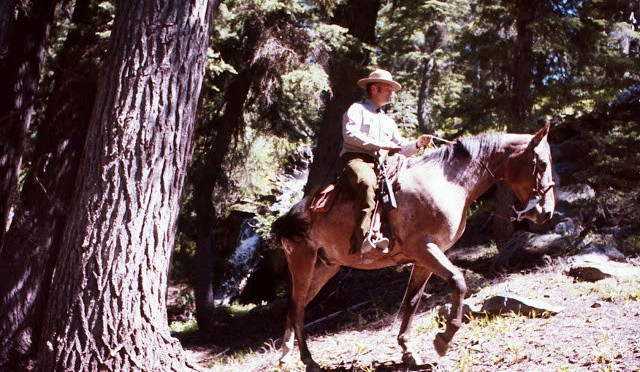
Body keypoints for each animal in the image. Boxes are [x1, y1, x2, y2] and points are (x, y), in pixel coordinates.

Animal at [272, 123, 556, 370]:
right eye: (542, 164)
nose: (547, 213)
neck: (447, 182)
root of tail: (291, 215)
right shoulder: (425, 248)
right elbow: (458, 281)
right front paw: (443, 339)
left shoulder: (424, 259)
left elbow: (412, 301)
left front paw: (410, 352)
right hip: (303, 262)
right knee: (297, 308)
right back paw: (308, 361)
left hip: (325, 268)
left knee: (296, 307)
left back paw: (286, 357)